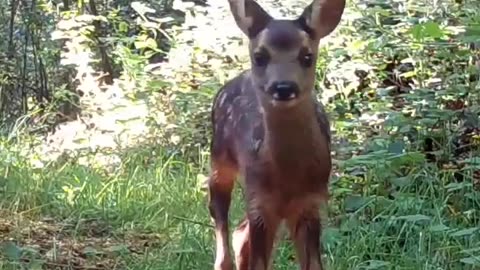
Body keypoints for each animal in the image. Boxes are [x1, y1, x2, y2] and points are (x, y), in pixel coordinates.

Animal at [206, 0, 344, 268]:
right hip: (219, 158)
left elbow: (313, 264)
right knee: (219, 216)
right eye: (260, 56)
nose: (283, 87)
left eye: (307, 56)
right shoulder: (260, 203)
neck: (288, 179)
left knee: (240, 232)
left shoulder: (311, 203)